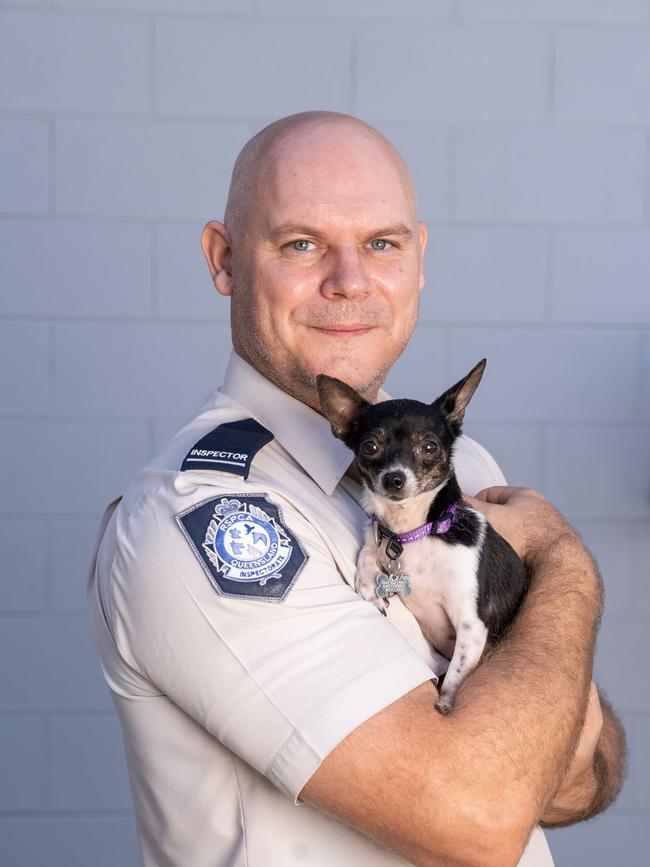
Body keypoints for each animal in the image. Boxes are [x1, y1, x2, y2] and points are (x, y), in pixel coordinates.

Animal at [316, 360, 528, 712]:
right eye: (370, 446)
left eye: (429, 447)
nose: (394, 478)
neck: (415, 533)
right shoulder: (379, 537)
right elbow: (368, 549)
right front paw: (368, 582)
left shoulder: (471, 626)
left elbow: (454, 675)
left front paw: (445, 703)